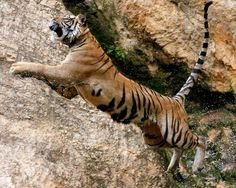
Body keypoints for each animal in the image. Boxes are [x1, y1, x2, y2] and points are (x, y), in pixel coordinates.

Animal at [9, 0, 213, 174]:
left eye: (66, 19)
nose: (52, 20)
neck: (81, 39)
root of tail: (175, 99)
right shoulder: (72, 85)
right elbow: (53, 83)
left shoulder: (66, 72)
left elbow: (42, 67)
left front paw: (17, 66)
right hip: (154, 137)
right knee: (178, 148)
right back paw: (171, 168)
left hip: (174, 131)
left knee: (200, 140)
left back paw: (196, 167)